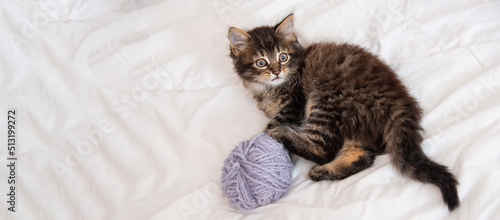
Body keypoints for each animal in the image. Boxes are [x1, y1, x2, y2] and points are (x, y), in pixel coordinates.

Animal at [229, 14, 458, 211]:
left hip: (327, 100)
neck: (271, 88)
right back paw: (325, 171)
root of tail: (400, 100)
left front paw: (258, 145)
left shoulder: (293, 106)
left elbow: (271, 126)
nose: (276, 71)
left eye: (282, 57)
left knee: (323, 150)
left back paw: (284, 137)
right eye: (261, 62)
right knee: (363, 156)